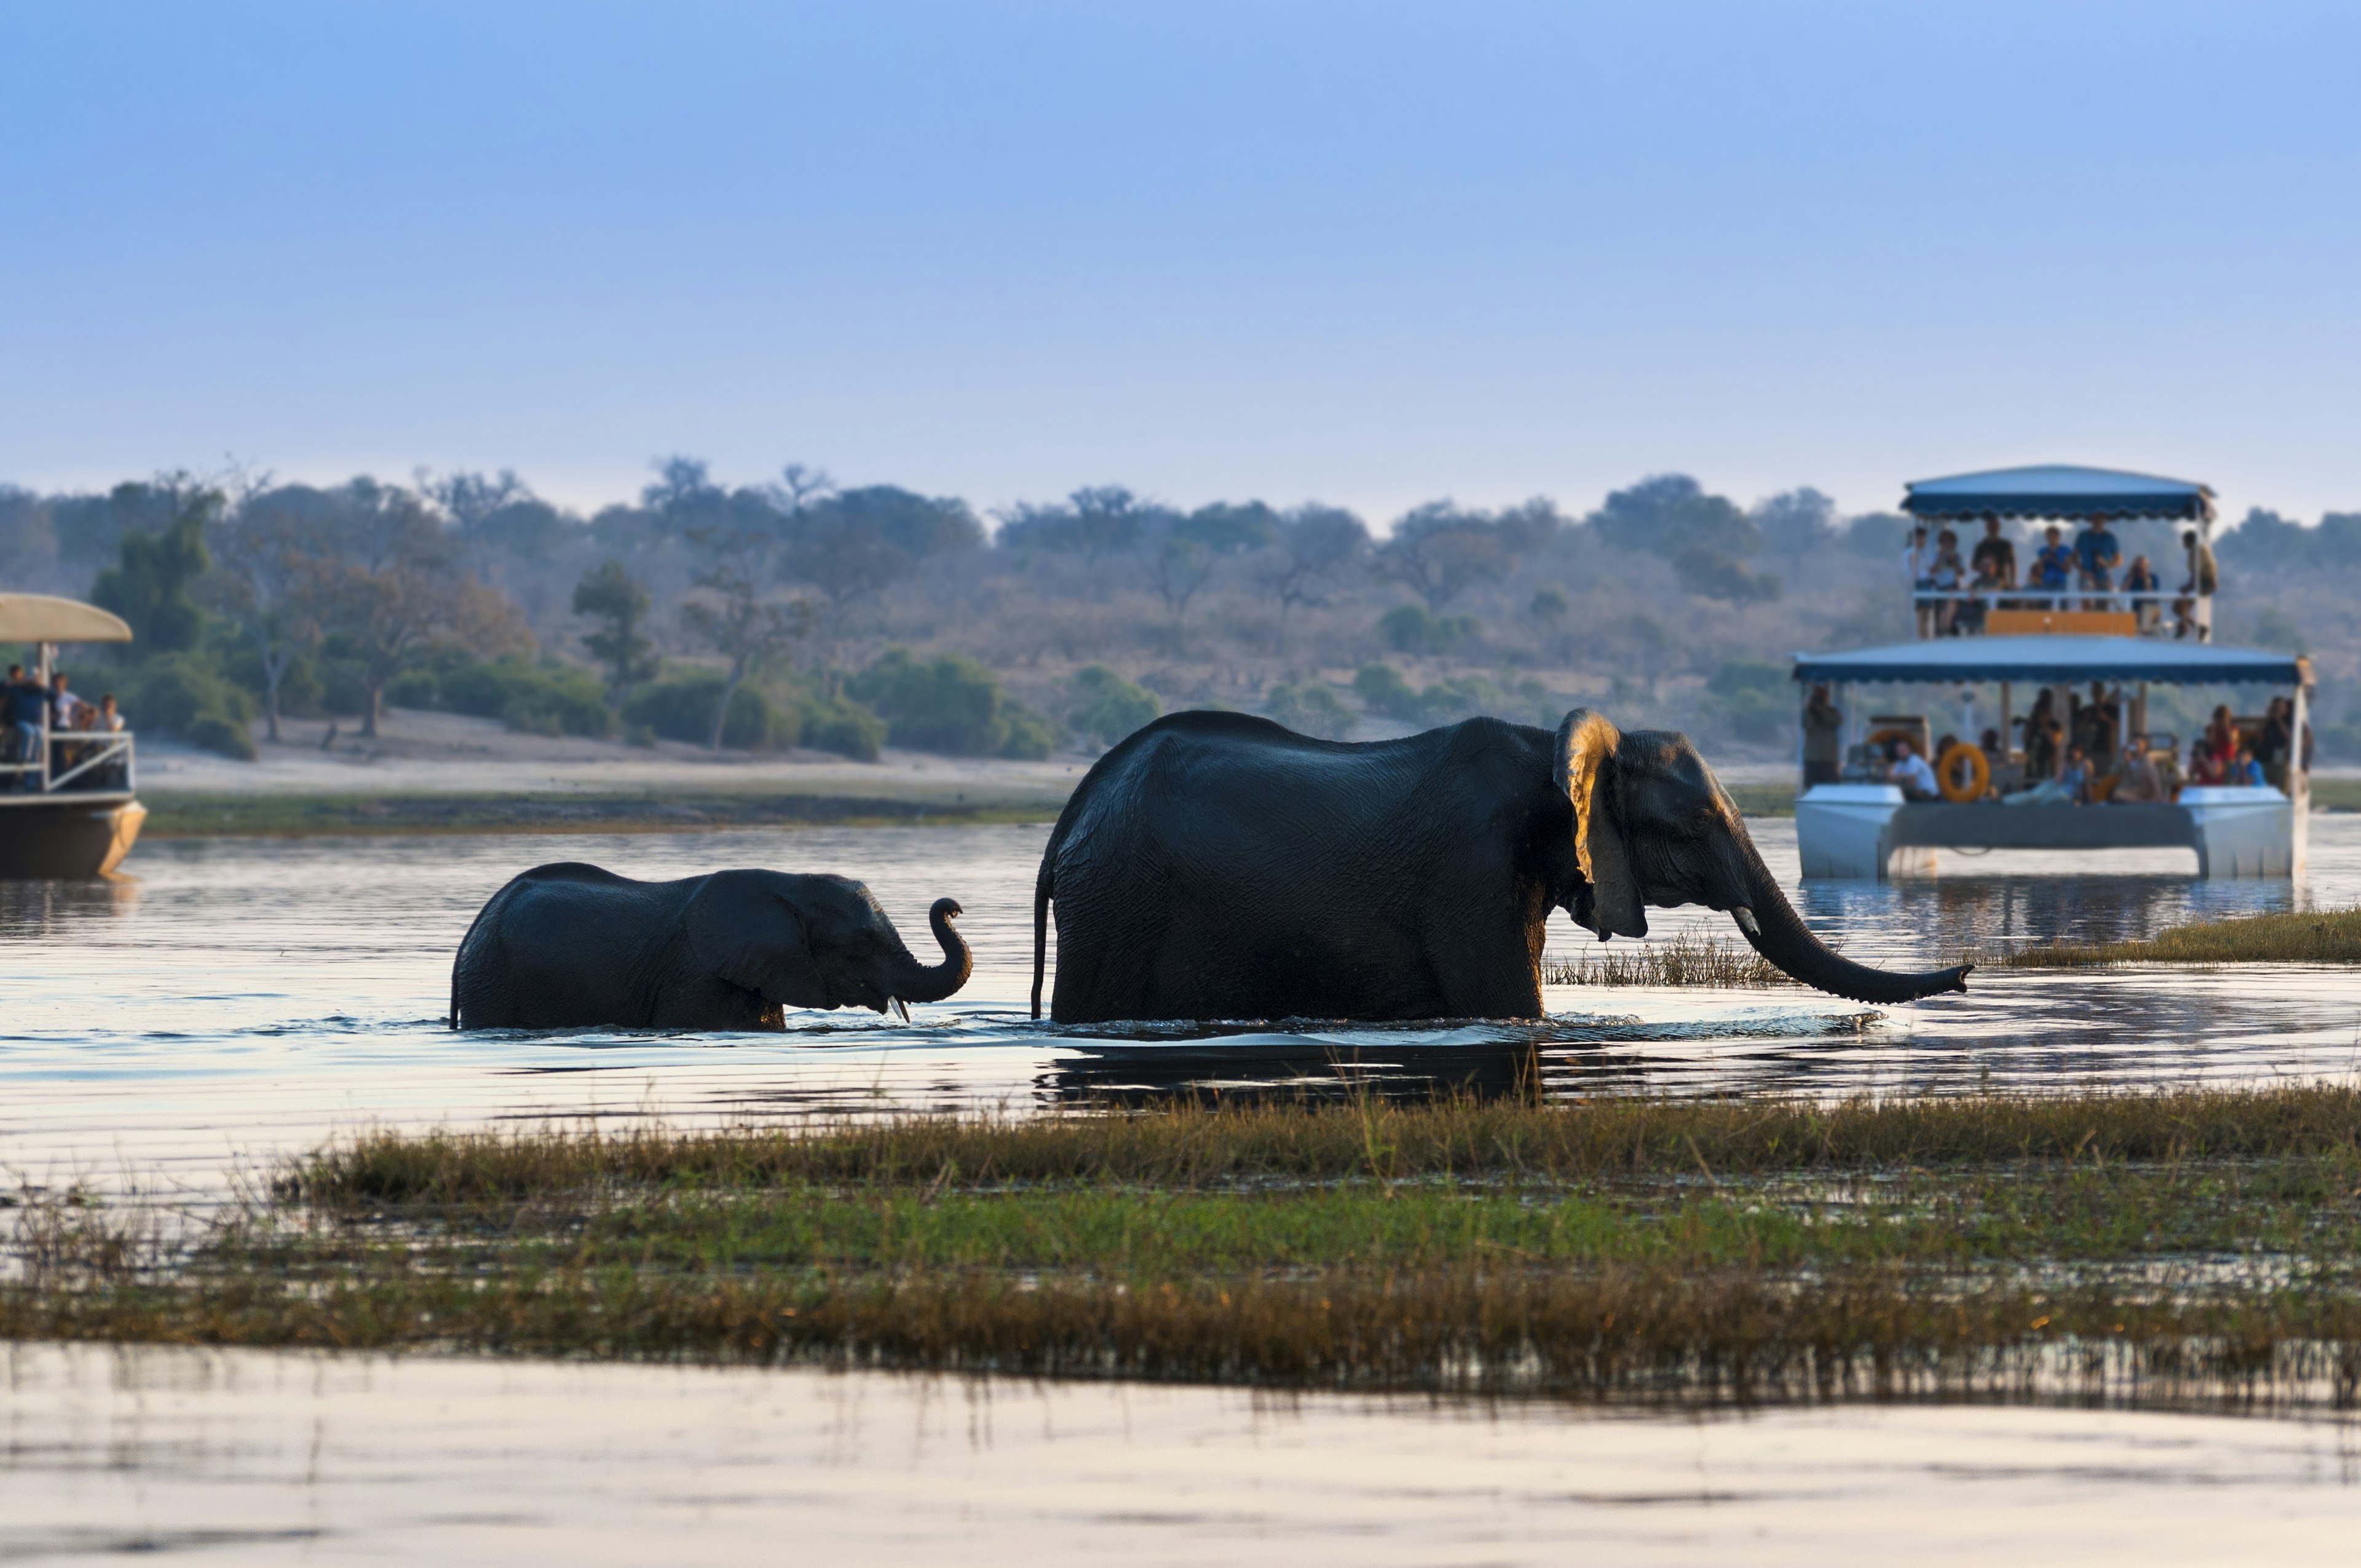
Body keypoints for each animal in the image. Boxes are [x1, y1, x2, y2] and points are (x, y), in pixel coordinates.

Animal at [1034, 703, 1974, 1024]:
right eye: (1700, 820)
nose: (1967, 973)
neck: (1552, 750)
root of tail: (1074, 810)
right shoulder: (1469, 870)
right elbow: (1512, 1007)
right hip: (1117, 900)